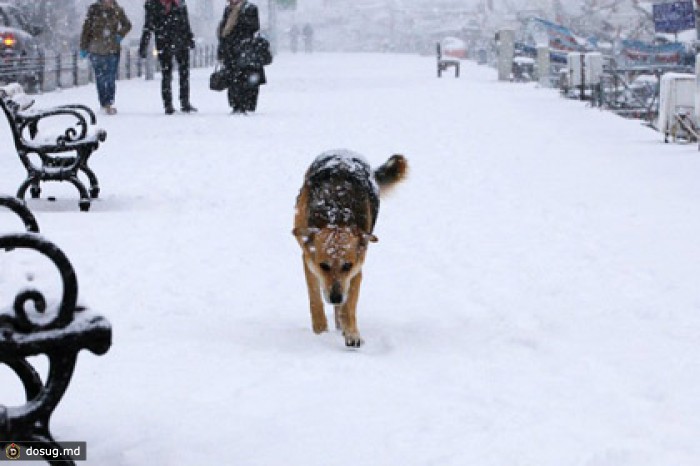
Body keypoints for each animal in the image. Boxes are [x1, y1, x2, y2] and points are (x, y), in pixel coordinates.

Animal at [292, 149, 410, 346]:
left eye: (347, 265)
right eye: (324, 265)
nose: (335, 297)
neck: (336, 215)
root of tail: (343, 152)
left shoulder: (356, 270)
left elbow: (349, 305)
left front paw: (351, 333)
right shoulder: (308, 261)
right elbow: (315, 300)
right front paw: (320, 332)